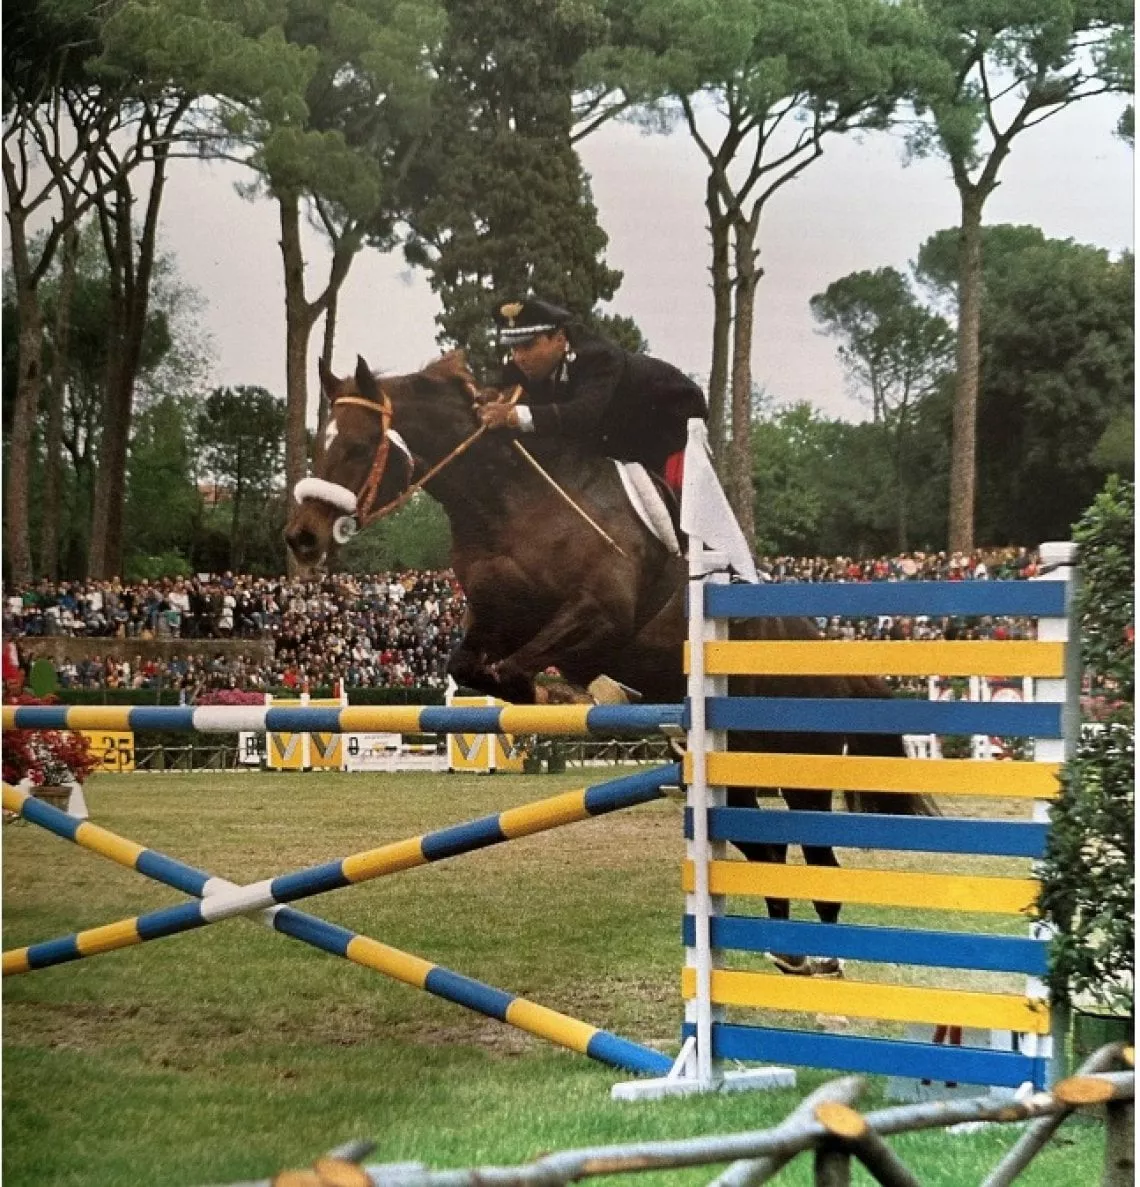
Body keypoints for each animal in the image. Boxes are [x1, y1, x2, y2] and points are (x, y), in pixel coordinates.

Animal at [285, 348, 935, 973]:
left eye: (358, 445)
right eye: (319, 443)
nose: (302, 538)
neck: (508, 502)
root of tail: (831, 656)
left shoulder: (602, 618)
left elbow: (516, 669)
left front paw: (576, 694)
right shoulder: (494, 621)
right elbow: (476, 670)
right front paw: (564, 698)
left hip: (801, 770)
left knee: (818, 858)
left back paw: (825, 957)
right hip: (733, 769)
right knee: (767, 850)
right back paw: (788, 953)